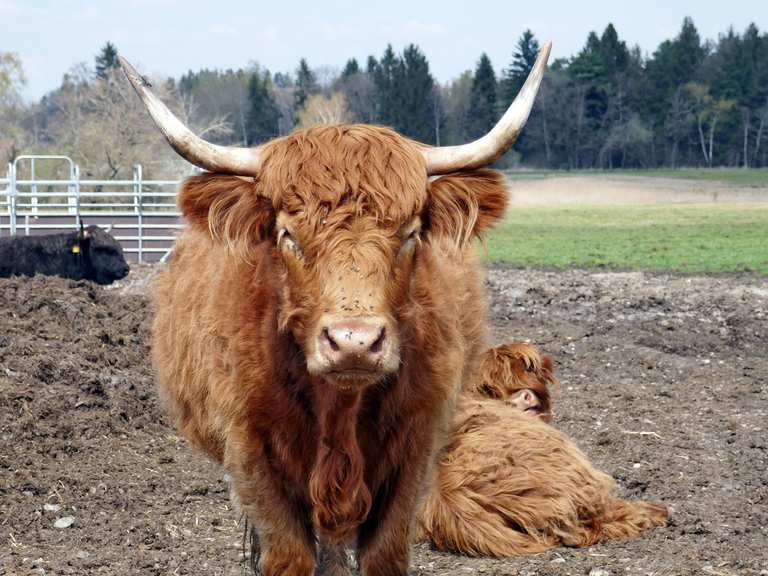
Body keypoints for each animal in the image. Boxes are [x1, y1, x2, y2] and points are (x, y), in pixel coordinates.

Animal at [118, 45, 552, 576]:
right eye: (288, 235)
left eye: (410, 233)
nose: (354, 343)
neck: (339, 408)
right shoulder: (252, 451)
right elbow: (288, 553)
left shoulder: (416, 449)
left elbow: (384, 553)